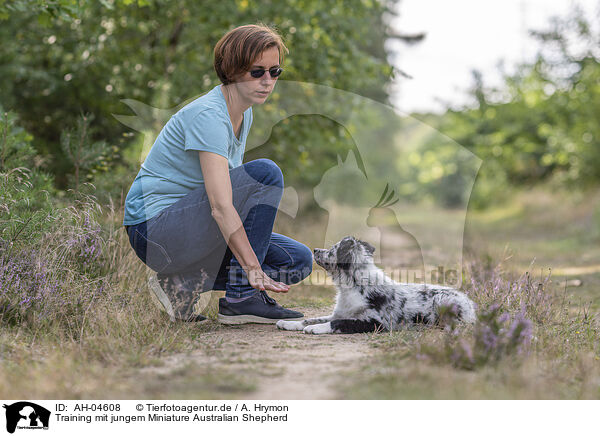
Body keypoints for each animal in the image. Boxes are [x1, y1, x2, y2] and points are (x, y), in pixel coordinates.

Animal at [278, 235, 478, 334]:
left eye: (332, 250)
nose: (315, 250)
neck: (353, 285)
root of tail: (470, 304)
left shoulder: (375, 322)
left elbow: (336, 323)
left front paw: (315, 329)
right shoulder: (342, 312)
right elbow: (313, 318)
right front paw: (290, 324)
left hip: (442, 300)